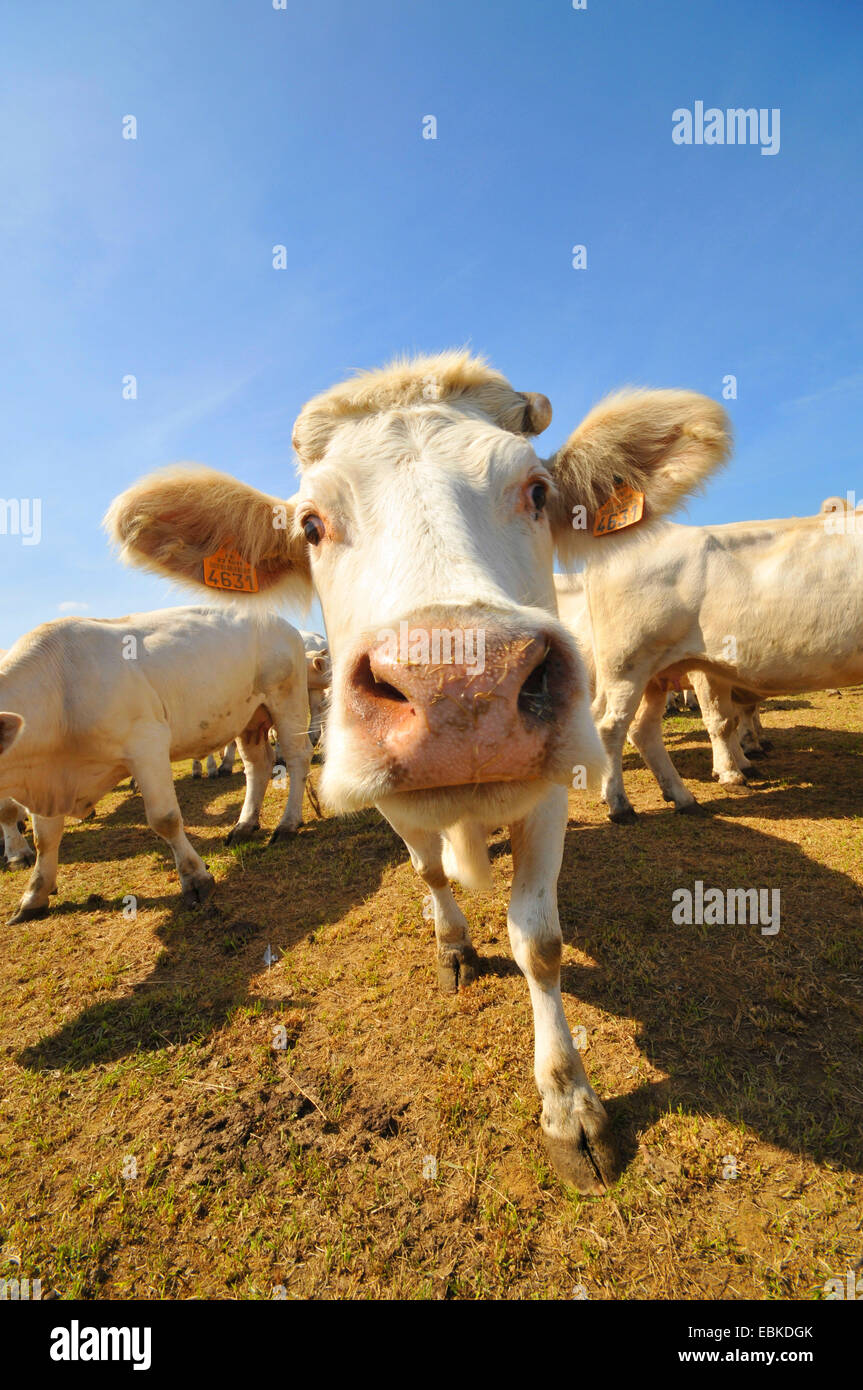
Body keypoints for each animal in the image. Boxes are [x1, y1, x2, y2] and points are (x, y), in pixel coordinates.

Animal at [0, 608, 312, 922]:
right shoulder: (46, 780)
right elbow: (45, 839)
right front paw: (34, 895)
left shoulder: (147, 743)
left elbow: (165, 819)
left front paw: (195, 878)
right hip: (250, 718)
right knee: (257, 765)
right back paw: (245, 824)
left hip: (287, 699)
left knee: (297, 756)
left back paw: (287, 824)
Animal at [106, 350, 728, 1195]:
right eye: (311, 524)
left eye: (537, 491)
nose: (462, 688)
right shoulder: (393, 805)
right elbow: (429, 874)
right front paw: (454, 945)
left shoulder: (546, 798)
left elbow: (540, 942)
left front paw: (569, 1106)